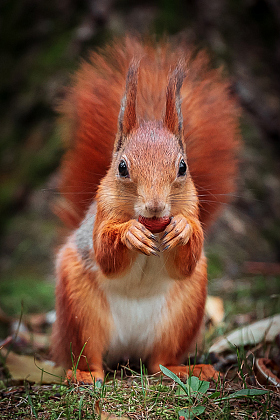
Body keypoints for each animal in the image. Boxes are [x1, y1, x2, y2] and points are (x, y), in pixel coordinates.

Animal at [52, 37, 241, 384]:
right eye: (122, 167)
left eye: (183, 167)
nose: (155, 207)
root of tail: (128, 349)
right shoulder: (102, 212)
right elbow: (105, 255)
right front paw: (130, 234)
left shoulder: (192, 208)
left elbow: (187, 260)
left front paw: (182, 229)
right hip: (80, 310)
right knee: (91, 356)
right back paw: (84, 374)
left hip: (183, 313)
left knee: (159, 362)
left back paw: (189, 369)